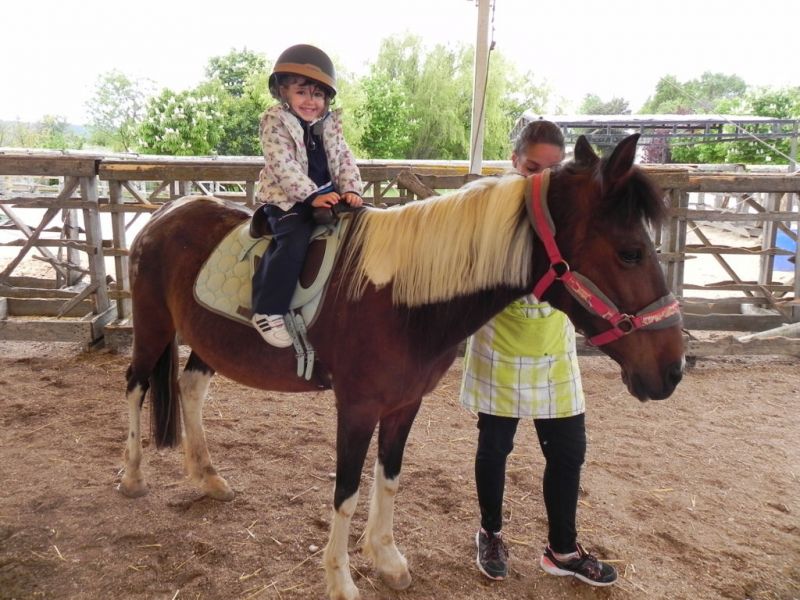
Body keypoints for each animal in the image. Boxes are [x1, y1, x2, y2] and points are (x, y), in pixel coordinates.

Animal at [120, 134, 684, 600]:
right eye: (631, 253)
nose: (673, 370)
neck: (400, 297)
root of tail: (164, 213)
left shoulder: (404, 404)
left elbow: (388, 478)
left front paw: (386, 560)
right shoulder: (357, 408)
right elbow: (346, 491)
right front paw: (341, 579)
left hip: (207, 343)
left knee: (190, 389)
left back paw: (207, 476)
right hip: (152, 327)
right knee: (136, 387)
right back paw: (132, 476)